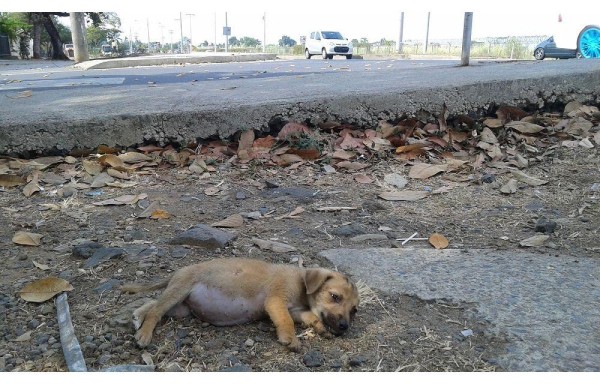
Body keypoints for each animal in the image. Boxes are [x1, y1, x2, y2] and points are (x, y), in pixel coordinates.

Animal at [119, 258, 358, 352]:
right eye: (335, 297)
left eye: (354, 310)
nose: (344, 327)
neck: (301, 282)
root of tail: (178, 273)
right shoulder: (276, 302)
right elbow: (285, 321)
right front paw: (290, 339)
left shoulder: (296, 310)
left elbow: (311, 316)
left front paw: (320, 328)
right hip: (178, 291)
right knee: (156, 311)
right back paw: (144, 333)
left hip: (181, 308)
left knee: (154, 304)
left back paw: (137, 315)